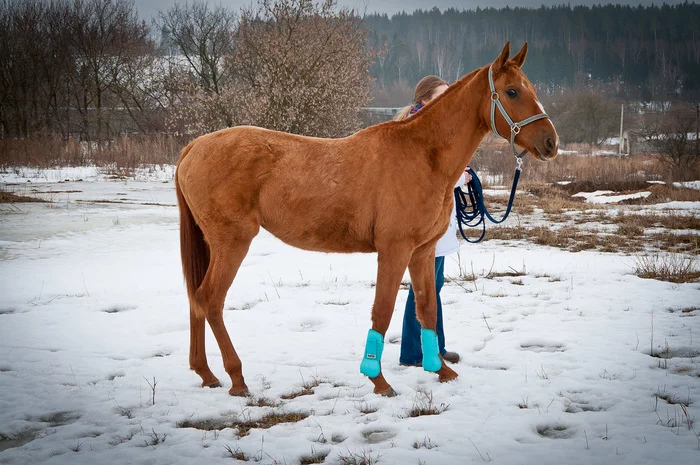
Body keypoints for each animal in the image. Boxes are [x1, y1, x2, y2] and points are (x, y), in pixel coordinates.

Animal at [175, 42, 556, 396]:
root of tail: (194, 147)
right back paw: (236, 378)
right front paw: (378, 379)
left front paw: (440, 370)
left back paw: (206, 374)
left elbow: (427, 308)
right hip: (232, 242)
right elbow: (383, 310)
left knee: (195, 299)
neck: (422, 155)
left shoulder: (422, 252)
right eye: (512, 91)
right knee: (210, 299)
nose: (551, 142)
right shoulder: (394, 251)